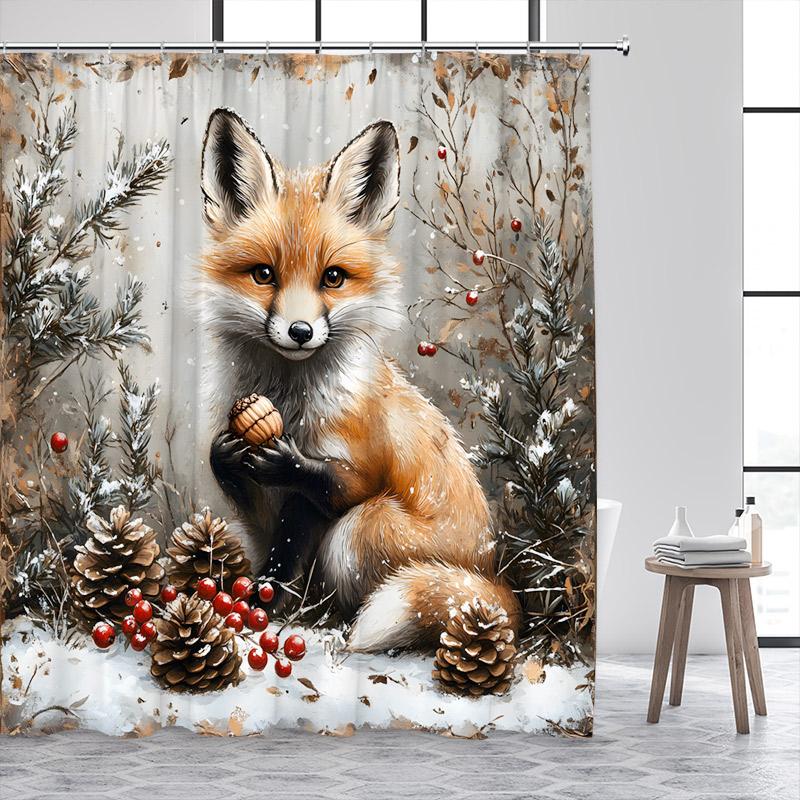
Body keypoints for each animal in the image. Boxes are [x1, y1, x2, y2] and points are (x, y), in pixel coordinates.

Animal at [197, 107, 520, 663]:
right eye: (263, 274)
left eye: (332, 278)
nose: (300, 332)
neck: (290, 399)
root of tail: (492, 573)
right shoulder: (255, 506)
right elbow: (241, 490)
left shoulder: (351, 462)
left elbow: (322, 501)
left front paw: (265, 603)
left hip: (358, 532)